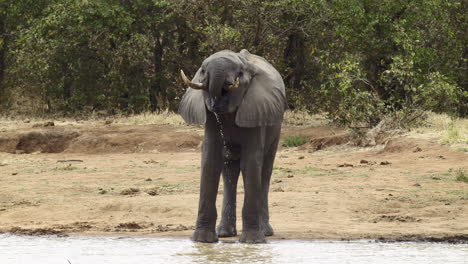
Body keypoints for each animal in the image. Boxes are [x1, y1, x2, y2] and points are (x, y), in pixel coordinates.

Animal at [179, 49, 288, 243]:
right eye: (203, 70)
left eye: (240, 72)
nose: (216, 101)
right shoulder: (211, 119)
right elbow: (211, 162)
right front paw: (202, 241)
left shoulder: (256, 110)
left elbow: (251, 163)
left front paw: (252, 242)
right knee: (229, 170)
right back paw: (224, 232)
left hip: (276, 125)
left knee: (265, 171)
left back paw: (265, 232)